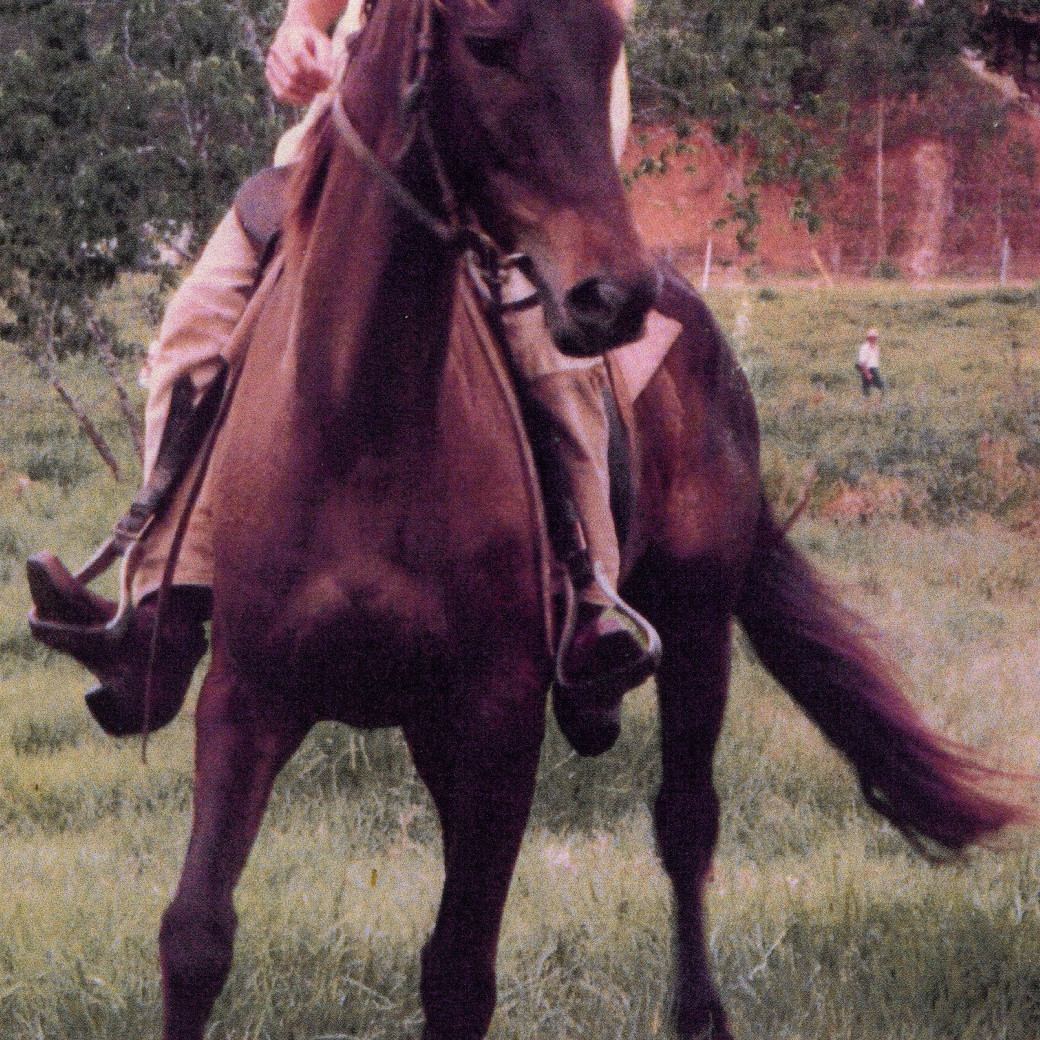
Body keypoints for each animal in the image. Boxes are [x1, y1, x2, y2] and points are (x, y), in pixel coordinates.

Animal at [154, 0, 1030, 1036]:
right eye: (485, 46)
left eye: (612, 44)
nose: (615, 296)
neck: (359, 421)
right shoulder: (246, 696)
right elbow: (196, 938)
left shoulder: (498, 712)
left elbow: (460, 971)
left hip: (697, 630)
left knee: (686, 821)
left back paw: (699, 1012)